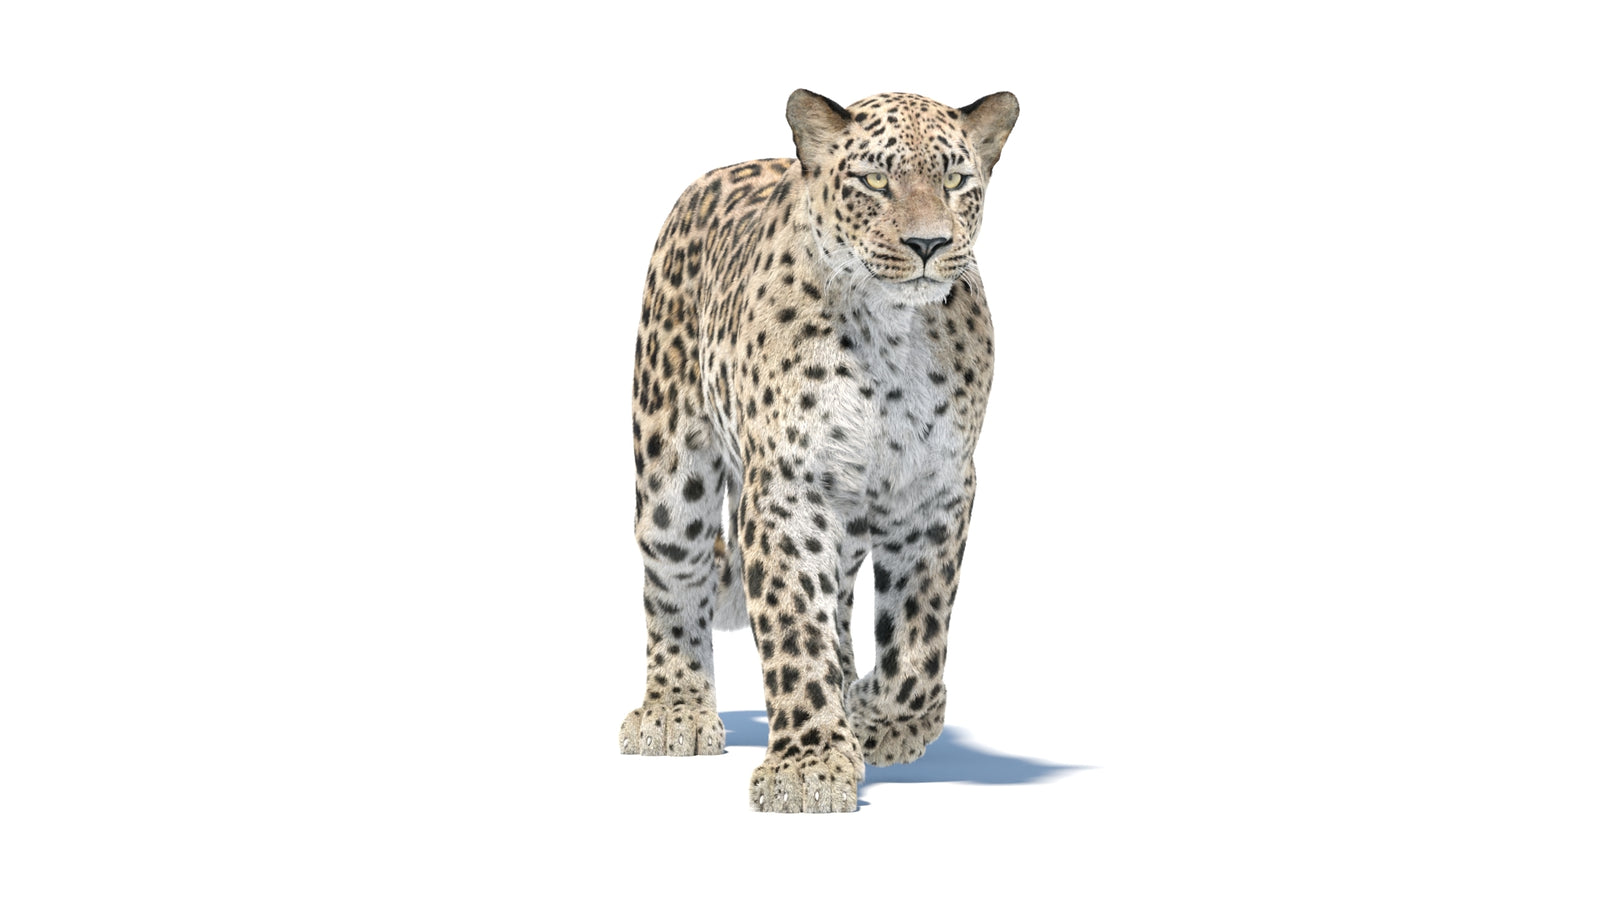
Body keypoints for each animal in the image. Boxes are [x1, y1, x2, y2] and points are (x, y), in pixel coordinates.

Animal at [618, 89, 1019, 813]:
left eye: (955, 181)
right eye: (875, 181)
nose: (929, 243)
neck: (891, 332)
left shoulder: (938, 491)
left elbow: (919, 637)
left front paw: (880, 721)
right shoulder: (787, 490)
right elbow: (792, 626)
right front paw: (808, 765)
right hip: (670, 470)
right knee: (673, 579)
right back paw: (674, 710)